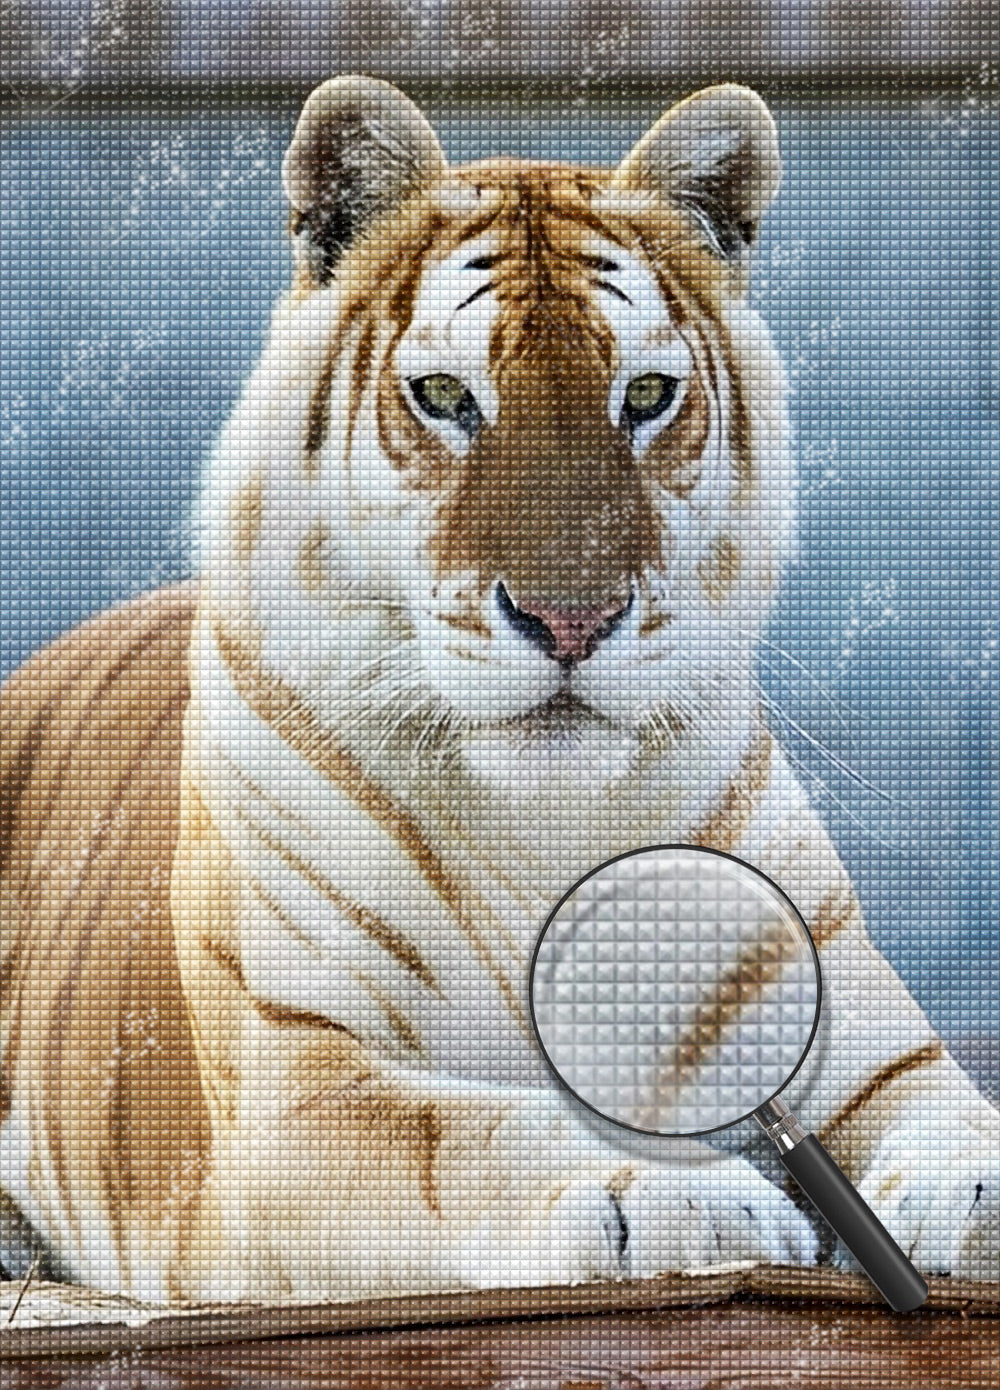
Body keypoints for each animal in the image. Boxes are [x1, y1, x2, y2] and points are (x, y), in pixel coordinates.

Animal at [1, 76, 997, 1306]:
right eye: (442, 396)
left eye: (647, 396)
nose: (570, 621)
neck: (546, 819)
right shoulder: (298, 1089)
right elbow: (484, 1132)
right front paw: (681, 1194)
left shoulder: (854, 1032)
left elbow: (950, 1110)